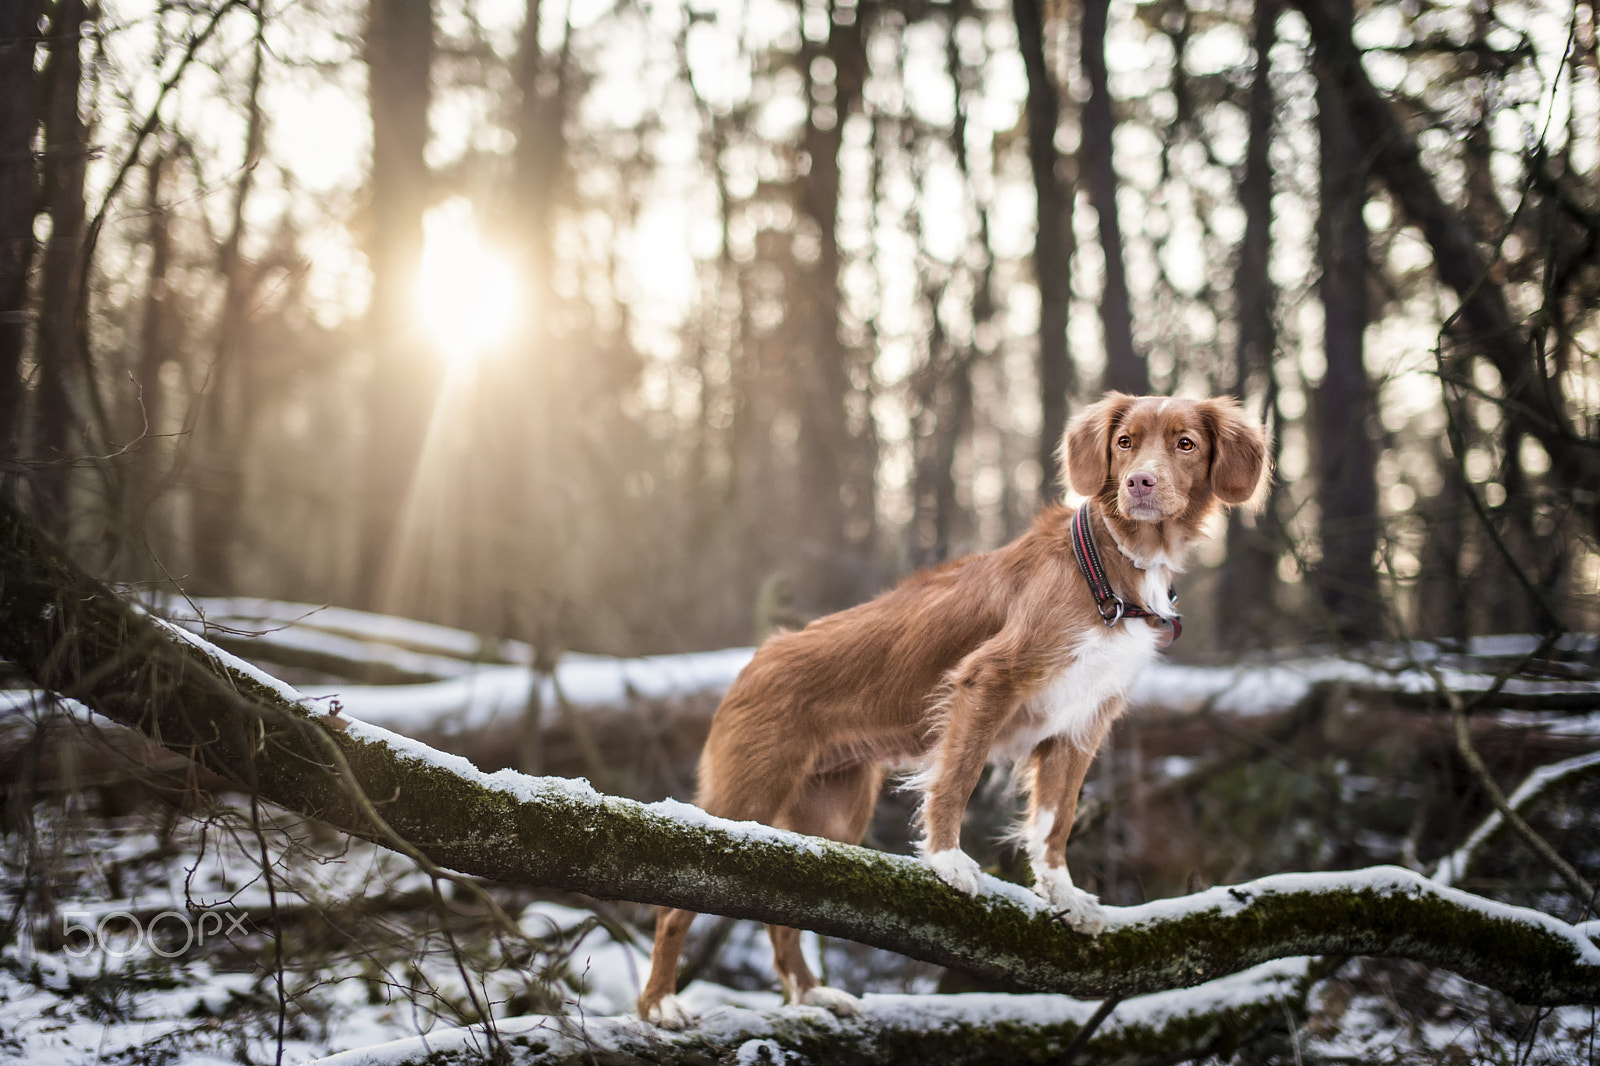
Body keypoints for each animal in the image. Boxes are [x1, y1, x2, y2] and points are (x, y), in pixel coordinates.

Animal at [630, 390, 1267, 1024]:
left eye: (1185, 444)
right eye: (1125, 442)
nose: (1139, 483)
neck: (1109, 570)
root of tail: (757, 658)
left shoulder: (1081, 723)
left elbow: (1054, 821)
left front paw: (1063, 895)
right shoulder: (986, 682)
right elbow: (957, 778)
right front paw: (947, 861)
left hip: (832, 815)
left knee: (785, 914)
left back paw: (809, 993)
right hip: (747, 796)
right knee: (674, 905)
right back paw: (660, 1001)